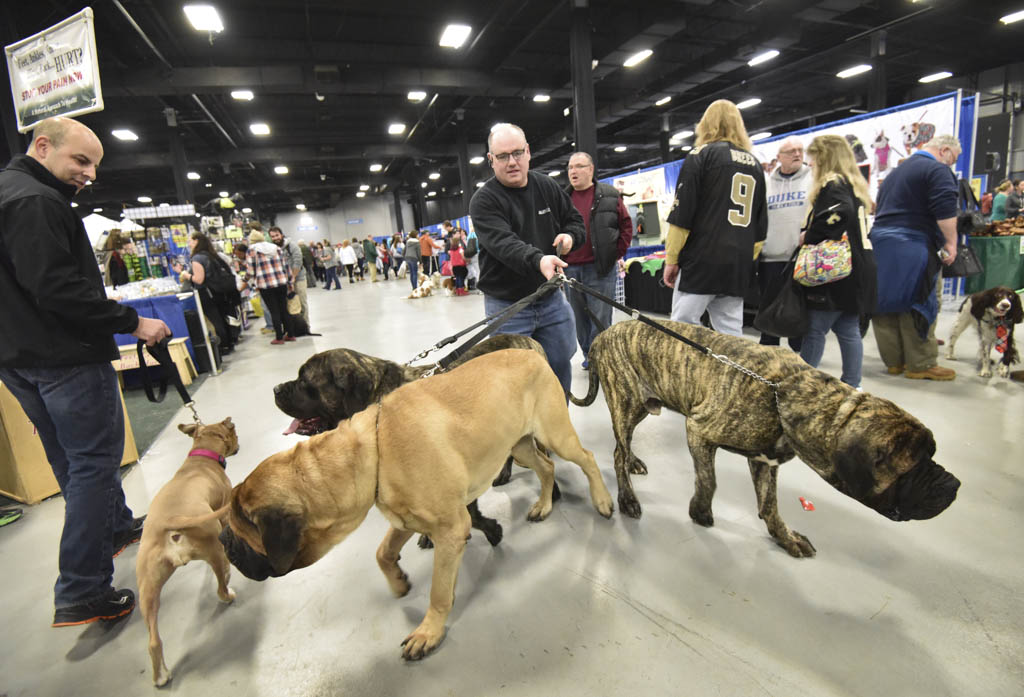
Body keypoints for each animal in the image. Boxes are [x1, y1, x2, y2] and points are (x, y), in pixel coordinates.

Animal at [136, 419, 239, 683]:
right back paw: (228, 589)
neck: (201, 458)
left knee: (153, 641)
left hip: (147, 589)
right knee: (221, 587)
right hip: (214, 547)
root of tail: (171, 521)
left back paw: (160, 677)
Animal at [219, 350, 610, 659]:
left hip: (555, 435)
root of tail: (531, 352)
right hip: (519, 445)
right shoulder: (406, 518)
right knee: (546, 468)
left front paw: (429, 631)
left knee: (587, 458)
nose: (223, 542)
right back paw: (544, 504)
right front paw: (399, 583)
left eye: (240, 532)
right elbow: (383, 552)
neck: (374, 451)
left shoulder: (450, 528)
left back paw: (604, 501)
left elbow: (438, 591)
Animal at [569, 319, 958, 552]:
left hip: (639, 407)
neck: (782, 393)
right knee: (617, 452)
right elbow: (709, 481)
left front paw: (785, 538)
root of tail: (603, 333)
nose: (953, 485)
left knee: (623, 447)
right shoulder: (698, 429)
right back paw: (627, 499)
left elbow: (770, 505)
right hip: (626, 403)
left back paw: (634, 462)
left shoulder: (765, 460)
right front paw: (700, 512)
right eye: (915, 465)